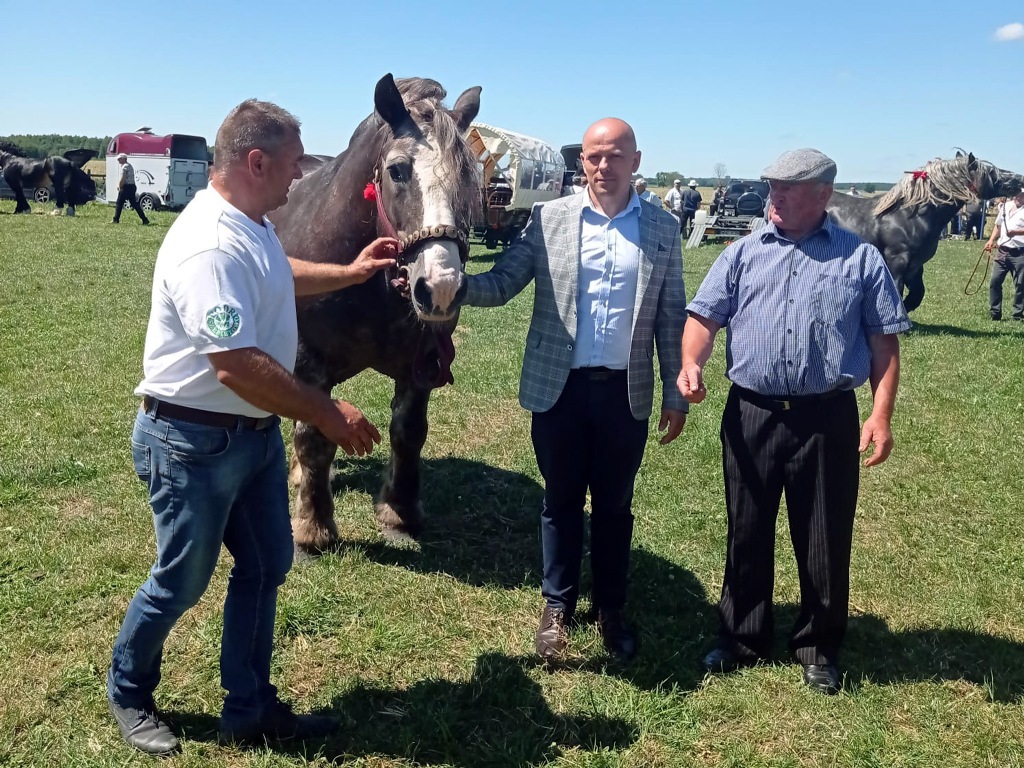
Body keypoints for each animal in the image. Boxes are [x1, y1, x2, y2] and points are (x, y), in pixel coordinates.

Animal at [270, 73, 481, 552]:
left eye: (468, 174)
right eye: (398, 170)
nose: (441, 287)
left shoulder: (421, 364)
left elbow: (409, 431)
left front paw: (399, 512)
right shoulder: (308, 359)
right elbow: (314, 438)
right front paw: (313, 528)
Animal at [823, 151, 1024, 311]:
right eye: (991, 171)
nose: (1019, 178)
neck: (910, 217)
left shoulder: (915, 266)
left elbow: (918, 293)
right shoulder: (897, 260)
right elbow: (897, 288)